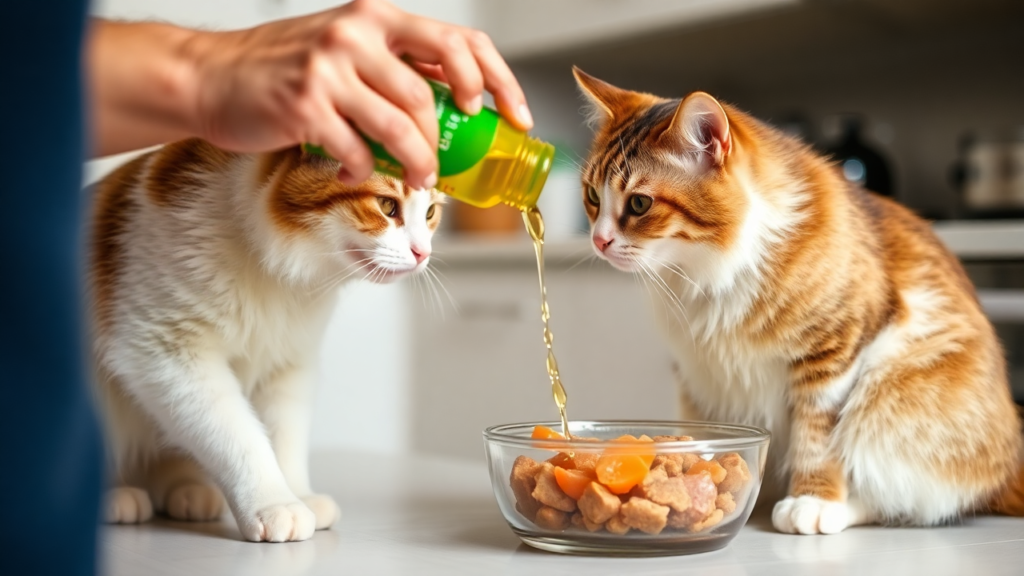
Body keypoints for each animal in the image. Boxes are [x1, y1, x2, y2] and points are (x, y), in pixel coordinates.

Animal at [88, 141, 440, 541]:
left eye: (430, 213)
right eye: (386, 206)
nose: (423, 254)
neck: (273, 273)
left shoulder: (289, 363)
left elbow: (285, 435)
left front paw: (299, 493)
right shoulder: (165, 351)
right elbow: (237, 435)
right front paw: (273, 501)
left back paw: (186, 489)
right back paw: (114, 495)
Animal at [577, 68, 1024, 532]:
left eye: (639, 203)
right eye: (592, 195)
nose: (598, 241)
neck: (708, 273)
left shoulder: (834, 352)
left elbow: (818, 439)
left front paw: (812, 500)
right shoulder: (701, 375)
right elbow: (714, 432)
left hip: (892, 402)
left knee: (906, 500)